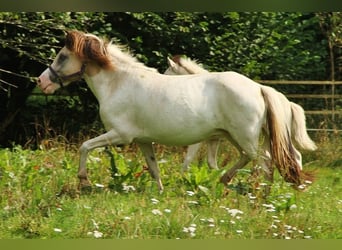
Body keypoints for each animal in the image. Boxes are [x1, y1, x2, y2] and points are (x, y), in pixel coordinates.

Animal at [164, 55, 316, 183]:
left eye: (167, 74)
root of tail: (261, 89)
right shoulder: (214, 139)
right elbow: (211, 162)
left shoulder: (199, 138)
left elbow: (189, 159)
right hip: (268, 136)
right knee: (289, 156)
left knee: (267, 158)